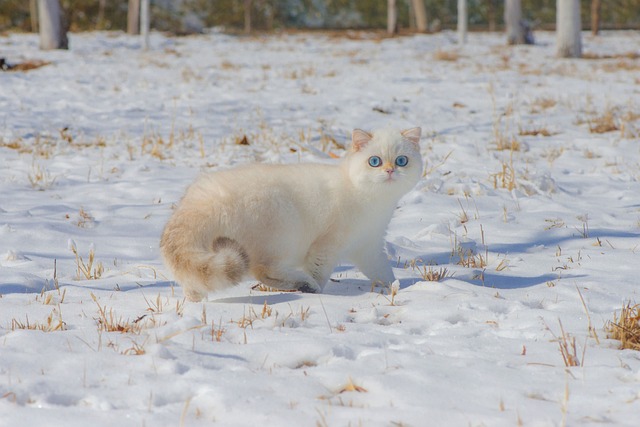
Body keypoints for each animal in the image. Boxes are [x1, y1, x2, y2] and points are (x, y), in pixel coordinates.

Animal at [160, 127, 422, 300]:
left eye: (401, 160)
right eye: (374, 161)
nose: (390, 171)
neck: (372, 201)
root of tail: (199, 201)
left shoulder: (369, 247)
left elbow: (383, 272)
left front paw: (397, 288)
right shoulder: (326, 246)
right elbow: (319, 272)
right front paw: (320, 292)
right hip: (283, 232)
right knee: (263, 270)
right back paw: (305, 285)